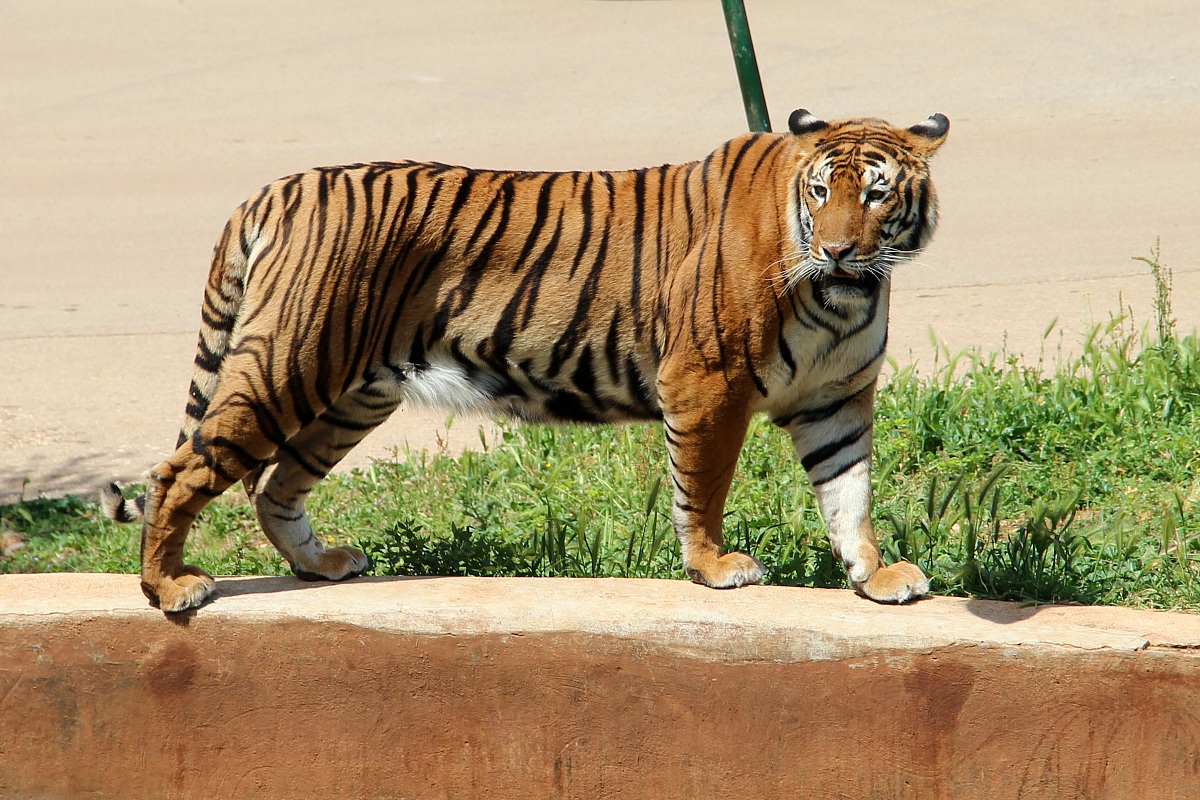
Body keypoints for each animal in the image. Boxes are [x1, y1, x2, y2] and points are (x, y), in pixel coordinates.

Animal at [102, 109, 949, 613]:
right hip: (287, 365)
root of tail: (273, 191)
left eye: (876, 195)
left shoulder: (836, 399)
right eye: (821, 191)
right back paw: (168, 587)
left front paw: (875, 576)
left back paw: (323, 566)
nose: (838, 250)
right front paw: (714, 567)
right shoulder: (708, 385)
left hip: (353, 392)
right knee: (182, 471)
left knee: (276, 485)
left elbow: (849, 493)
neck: (844, 296)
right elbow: (703, 488)